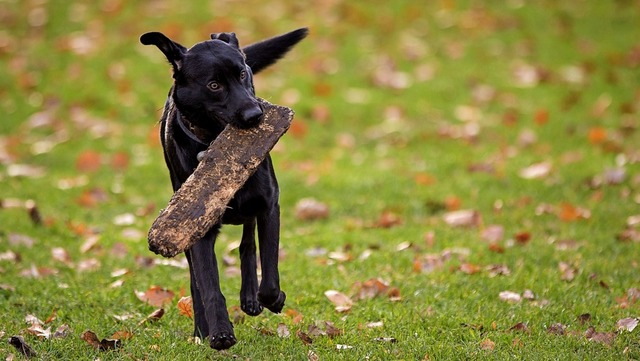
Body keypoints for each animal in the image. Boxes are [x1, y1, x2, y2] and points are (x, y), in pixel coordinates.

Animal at [141, 27, 306, 348]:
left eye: (243, 74)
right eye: (214, 85)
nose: (256, 115)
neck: (213, 142)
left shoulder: (269, 206)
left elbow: (269, 273)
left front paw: (273, 298)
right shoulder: (194, 227)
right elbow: (207, 284)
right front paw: (219, 332)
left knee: (247, 244)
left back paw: (250, 299)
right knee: (196, 280)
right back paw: (201, 331)